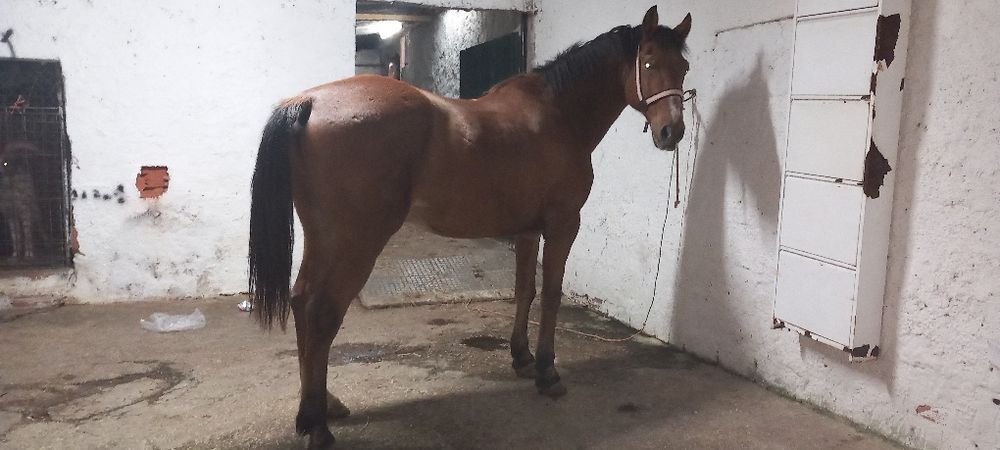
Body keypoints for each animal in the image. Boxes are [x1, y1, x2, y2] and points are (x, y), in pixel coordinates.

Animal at [248, 6, 691, 448]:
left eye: (684, 67)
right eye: (649, 62)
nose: (672, 132)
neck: (559, 117)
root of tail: (308, 101)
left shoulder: (527, 230)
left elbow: (524, 290)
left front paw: (522, 357)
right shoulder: (563, 223)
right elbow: (550, 294)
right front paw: (547, 372)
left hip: (324, 239)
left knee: (302, 303)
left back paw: (322, 407)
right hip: (355, 243)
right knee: (323, 313)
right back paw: (318, 426)